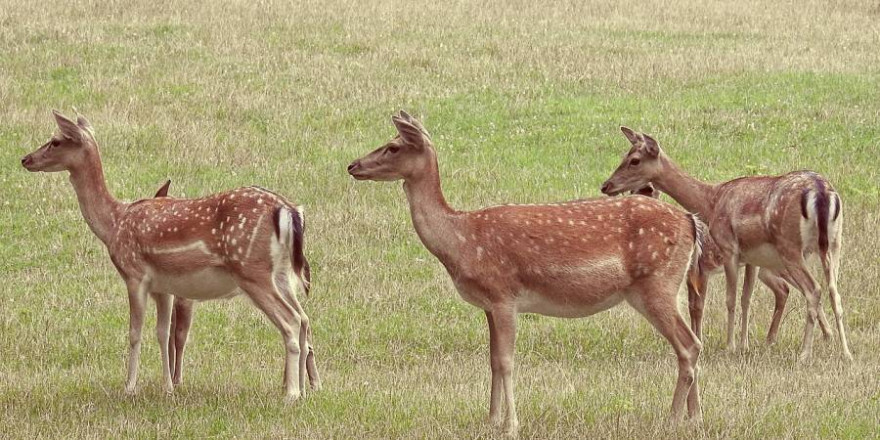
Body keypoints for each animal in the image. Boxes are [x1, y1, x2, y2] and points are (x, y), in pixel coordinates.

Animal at [22, 111, 322, 398]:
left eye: (55, 141)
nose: (25, 159)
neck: (114, 223)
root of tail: (289, 211)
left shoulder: (135, 274)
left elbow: (135, 332)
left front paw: (129, 387)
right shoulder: (163, 287)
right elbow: (162, 332)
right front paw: (167, 388)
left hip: (251, 270)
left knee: (292, 321)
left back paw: (292, 393)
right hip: (280, 274)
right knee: (303, 318)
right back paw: (303, 389)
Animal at [348, 111, 704, 434]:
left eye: (393, 146)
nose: (352, 165)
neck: (462, 240)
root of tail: (691, 221)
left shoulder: (504, 294)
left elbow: (507, 361)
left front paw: (511, 425)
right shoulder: (488, 305)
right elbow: (492, 360)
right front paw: (491, 420)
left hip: (656, 283)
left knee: (689, 344)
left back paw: (672, 420)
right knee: (690, 343)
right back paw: (693, 416)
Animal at [628, 185, 796, 344]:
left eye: (649, 190)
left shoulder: (703, 268)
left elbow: (699, 307)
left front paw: (700, 338)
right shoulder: (690, 276)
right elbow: (691, 306)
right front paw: (696, 336)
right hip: (764, 269)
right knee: (783, 289)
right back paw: (769, 340)